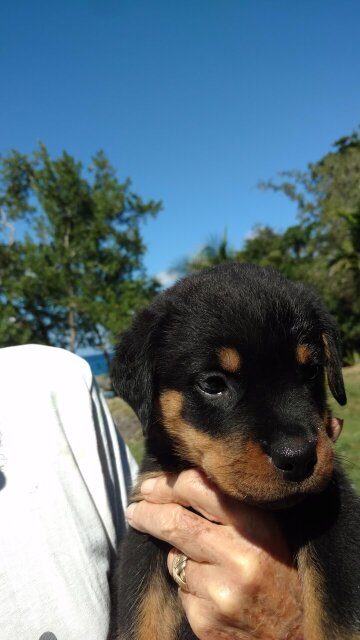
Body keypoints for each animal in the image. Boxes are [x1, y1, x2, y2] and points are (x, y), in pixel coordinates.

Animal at [109, 262, 360, 636]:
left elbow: (338, 618)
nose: (299, 458)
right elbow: (141, 620)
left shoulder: (333, 509)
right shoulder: (145, 529)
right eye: (213, 383)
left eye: (312, 370)